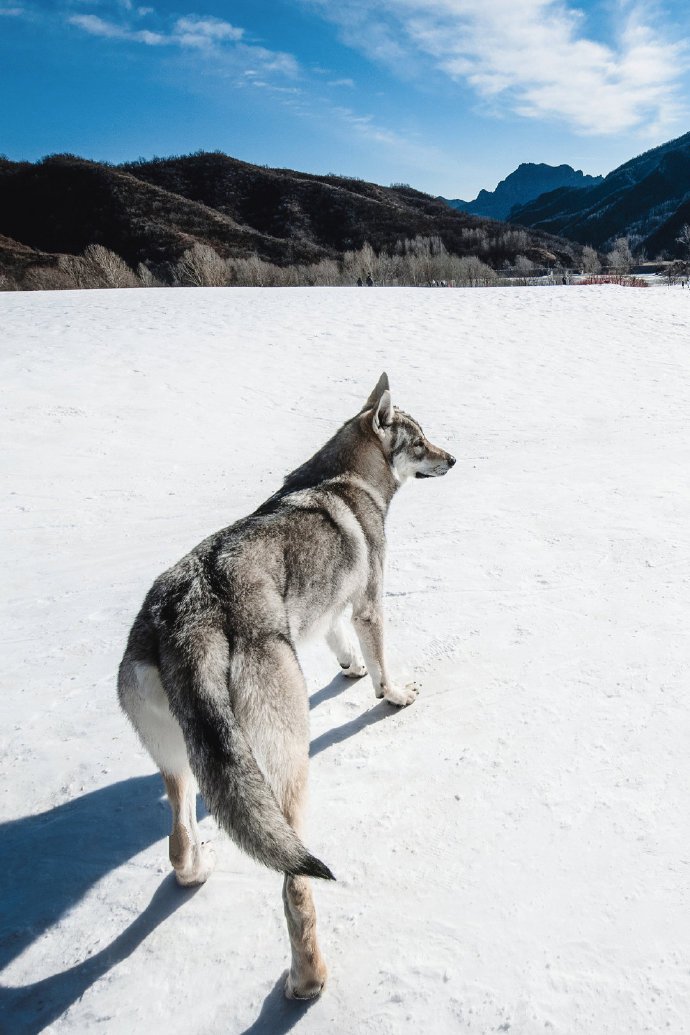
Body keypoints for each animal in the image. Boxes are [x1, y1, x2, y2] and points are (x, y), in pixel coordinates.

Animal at [116, 372, 455, 993]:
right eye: (420, 442)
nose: (454, 458)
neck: (344, 479)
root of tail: (187, 620)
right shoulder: (370, 602)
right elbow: (382, 665)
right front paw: (393, 695)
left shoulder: (329, 609)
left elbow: (342, 643)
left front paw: (350, 668)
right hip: (290, 764)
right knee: (295, 882)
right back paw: (308, 980)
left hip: (177, 763)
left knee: (178, 843)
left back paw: (199, 868)